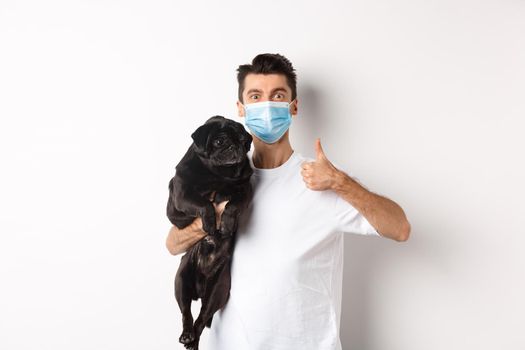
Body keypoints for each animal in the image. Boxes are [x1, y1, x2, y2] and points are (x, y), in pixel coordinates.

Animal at [165, 116, 253, 348]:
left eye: (243, 140)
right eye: (219, 141)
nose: (235, 146)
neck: (218, 174)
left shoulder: (245, 190)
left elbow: (232, 205)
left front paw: (227, 224)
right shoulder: (181, 197)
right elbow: (204, 204)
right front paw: (210, 224)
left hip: (218, 290)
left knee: (203, 317)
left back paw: (192, 340)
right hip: (181, 281)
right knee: (186, 313)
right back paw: (187, 336)